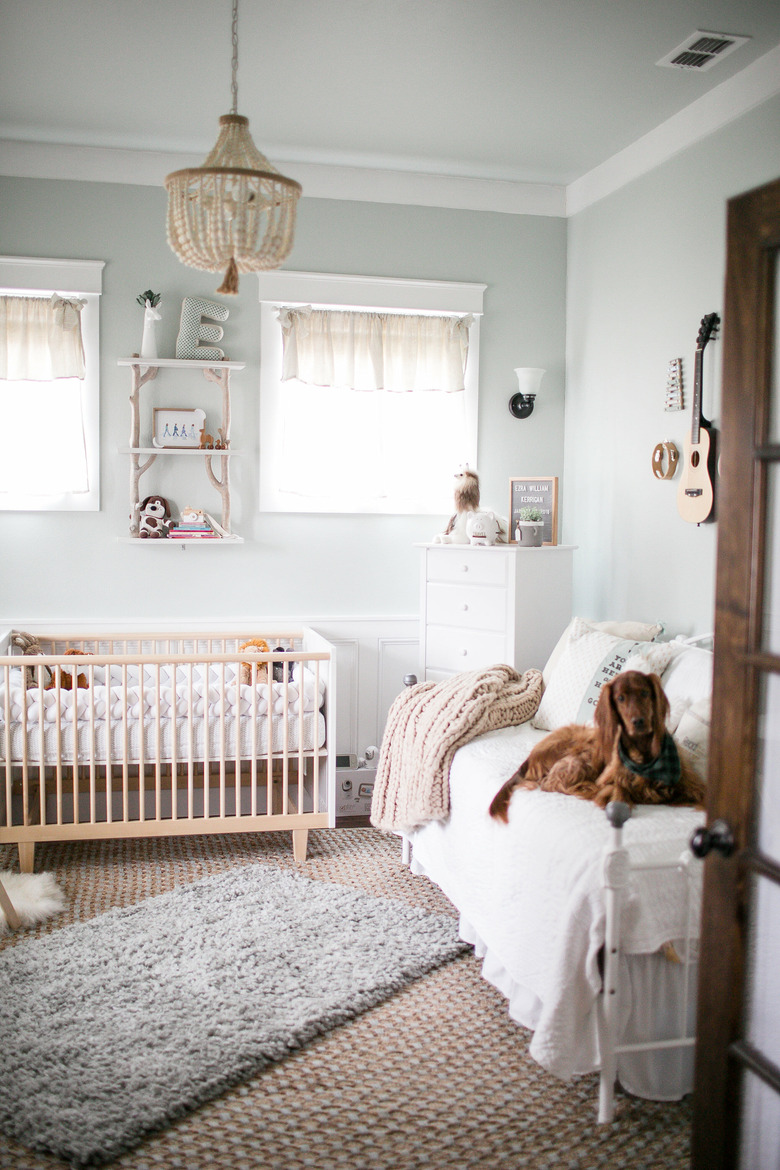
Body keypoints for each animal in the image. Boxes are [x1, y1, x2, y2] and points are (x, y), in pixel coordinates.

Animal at [491, 669, 706, 823]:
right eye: (620, 698)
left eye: (645, 693)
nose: (638, 722)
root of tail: (530, 757)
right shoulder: (611, 779)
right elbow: (616, 790)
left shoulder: (691, 786)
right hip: (582, 754)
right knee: (550, 783)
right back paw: (585, 787)